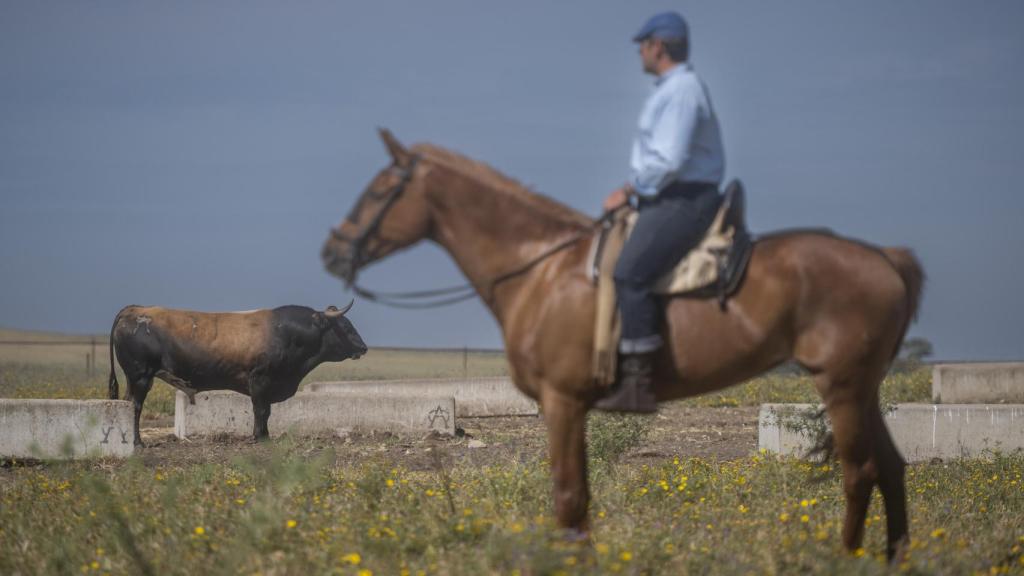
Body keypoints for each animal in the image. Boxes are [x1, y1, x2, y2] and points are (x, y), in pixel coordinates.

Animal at [107, 301, 364, 444]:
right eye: (347, 326)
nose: (363, 347)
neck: (285, 333)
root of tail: (135, 310)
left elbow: (266, 411)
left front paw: (265, 435)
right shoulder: (260, 379)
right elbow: (261, 410)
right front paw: (258, 437)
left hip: (135, 378)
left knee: (128, 404)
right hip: (141, 376)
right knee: (135, 406)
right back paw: (138, 443)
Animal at [321, 127, 929, 557]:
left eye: (379, 190)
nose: (333, 250)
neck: (540, 270)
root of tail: (885, 258)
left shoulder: (562, 402)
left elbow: (569, 499)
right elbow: (579, 500)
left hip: (842, 385)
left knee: (861, 473)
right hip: (864, 387)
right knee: (891, 469)